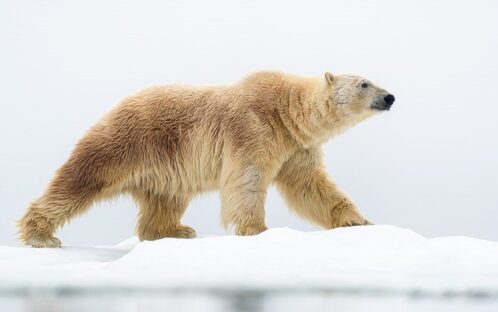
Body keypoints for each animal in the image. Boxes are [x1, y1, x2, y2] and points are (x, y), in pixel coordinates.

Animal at [17, 70, 394, 246]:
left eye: (373, 80)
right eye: (364, 83)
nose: (390, 97)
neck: (286, 111)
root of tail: (117, 105)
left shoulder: (294, 147)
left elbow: (311, 186)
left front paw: (358, 221)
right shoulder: (253, 128)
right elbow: (247, 178)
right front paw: (257, 229)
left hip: (164, 166)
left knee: (165, 199)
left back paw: (175, 230)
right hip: (126, 142)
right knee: (80, 179)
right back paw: (40, 234)